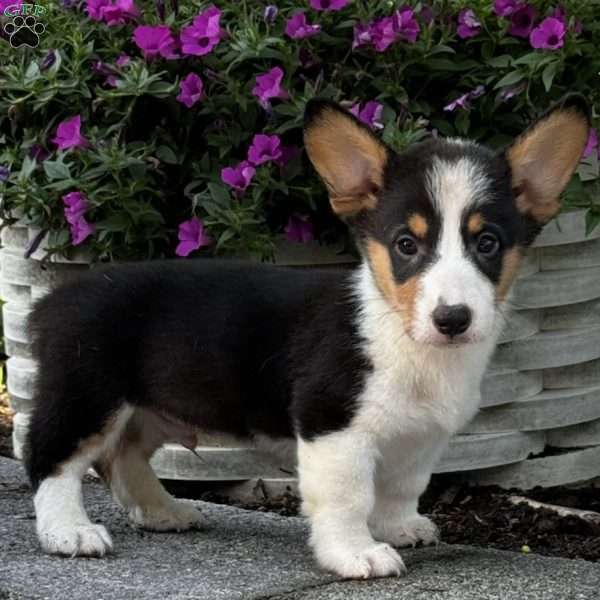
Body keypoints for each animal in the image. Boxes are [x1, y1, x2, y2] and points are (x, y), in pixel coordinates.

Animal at [25, 96, 588, 580]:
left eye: (487, 243)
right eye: (406, 245)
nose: (453, 318)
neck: (402, 336)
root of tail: (56, 299)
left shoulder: (421, 437)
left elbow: (403, 487)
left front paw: (400, 527)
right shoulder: (332, 427)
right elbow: (349, 498)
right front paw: (357, 553)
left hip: (148, 409)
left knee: (123, 458)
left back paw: (163, 510)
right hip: (87, 395)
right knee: (52, 458)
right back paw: (70, 532)